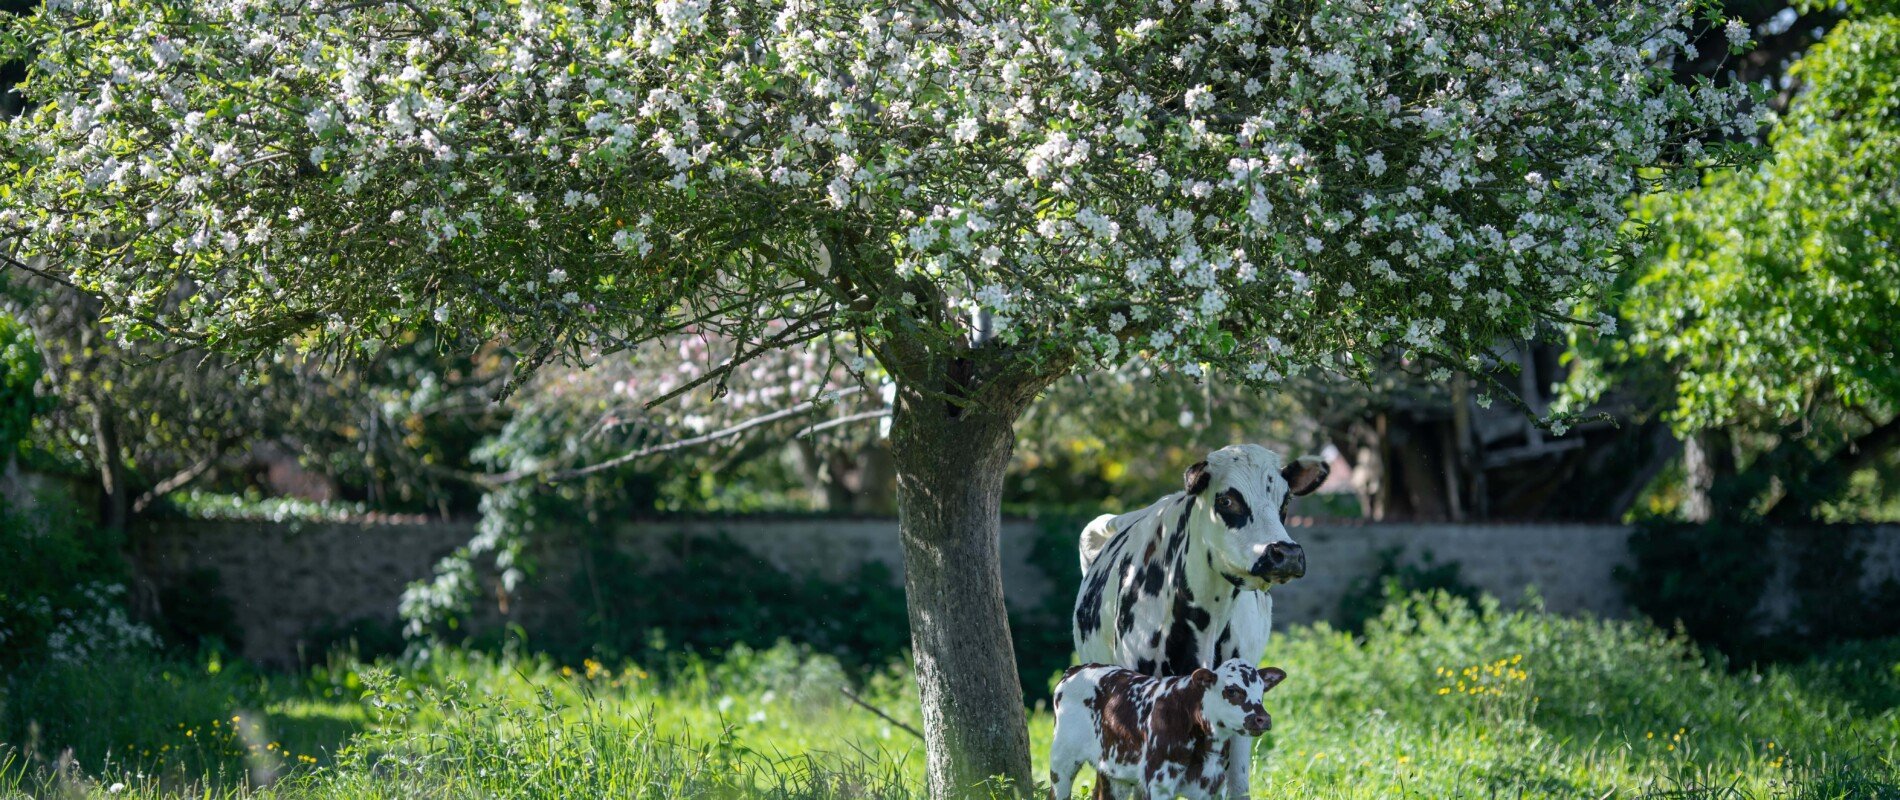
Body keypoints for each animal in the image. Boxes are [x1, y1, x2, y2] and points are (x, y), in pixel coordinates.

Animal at [1048, 657, 1284, 794]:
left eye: (1262, 690)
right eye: (1232, 690)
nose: (1263, 718)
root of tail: (1076, 670)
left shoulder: (1211, 785)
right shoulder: (1159, 782)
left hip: (1114, 773)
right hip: (1062, 763)